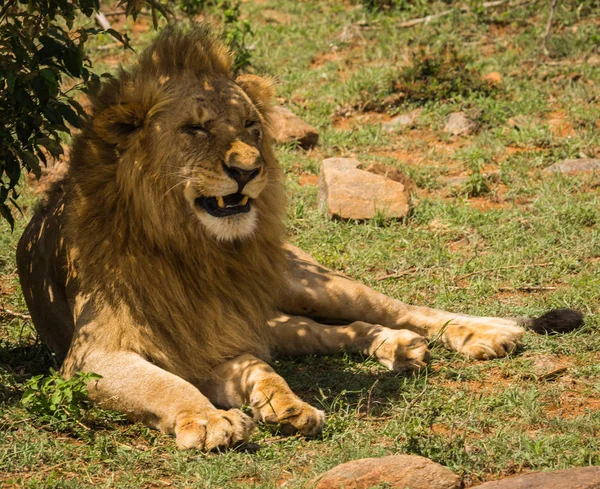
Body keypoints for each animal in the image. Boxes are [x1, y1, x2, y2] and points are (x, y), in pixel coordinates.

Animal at [16, 24, 584, 448]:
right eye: (195, 129)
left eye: (251, 126)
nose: (250, 170)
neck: (197, 251)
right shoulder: (95, 355)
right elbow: (167, 383)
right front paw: (218, 417)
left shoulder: (219, 335)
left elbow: (260, 369)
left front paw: (280, 403)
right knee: (327, 331)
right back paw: (397, 347)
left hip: (309, 280)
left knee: (403, 308)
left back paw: (483, 335)